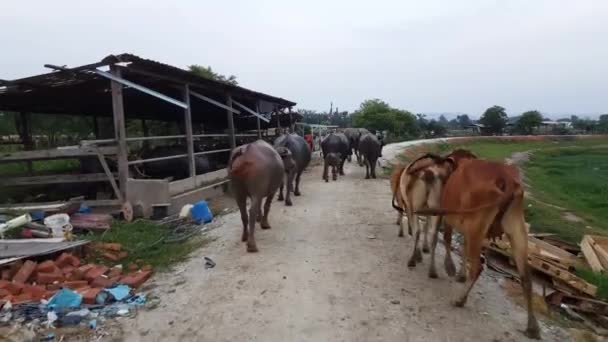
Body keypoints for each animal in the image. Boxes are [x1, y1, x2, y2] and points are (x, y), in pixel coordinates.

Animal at [416, 158, 540, 340]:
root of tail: (506, 177)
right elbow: (462, 247)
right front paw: (460, 274)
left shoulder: (444, 214)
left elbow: (442, 239)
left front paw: (446, 268)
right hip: (517, 228)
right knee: (526, 277)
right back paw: (532, 327)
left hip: (476, 225)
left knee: (477, 267)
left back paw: (460, 300)